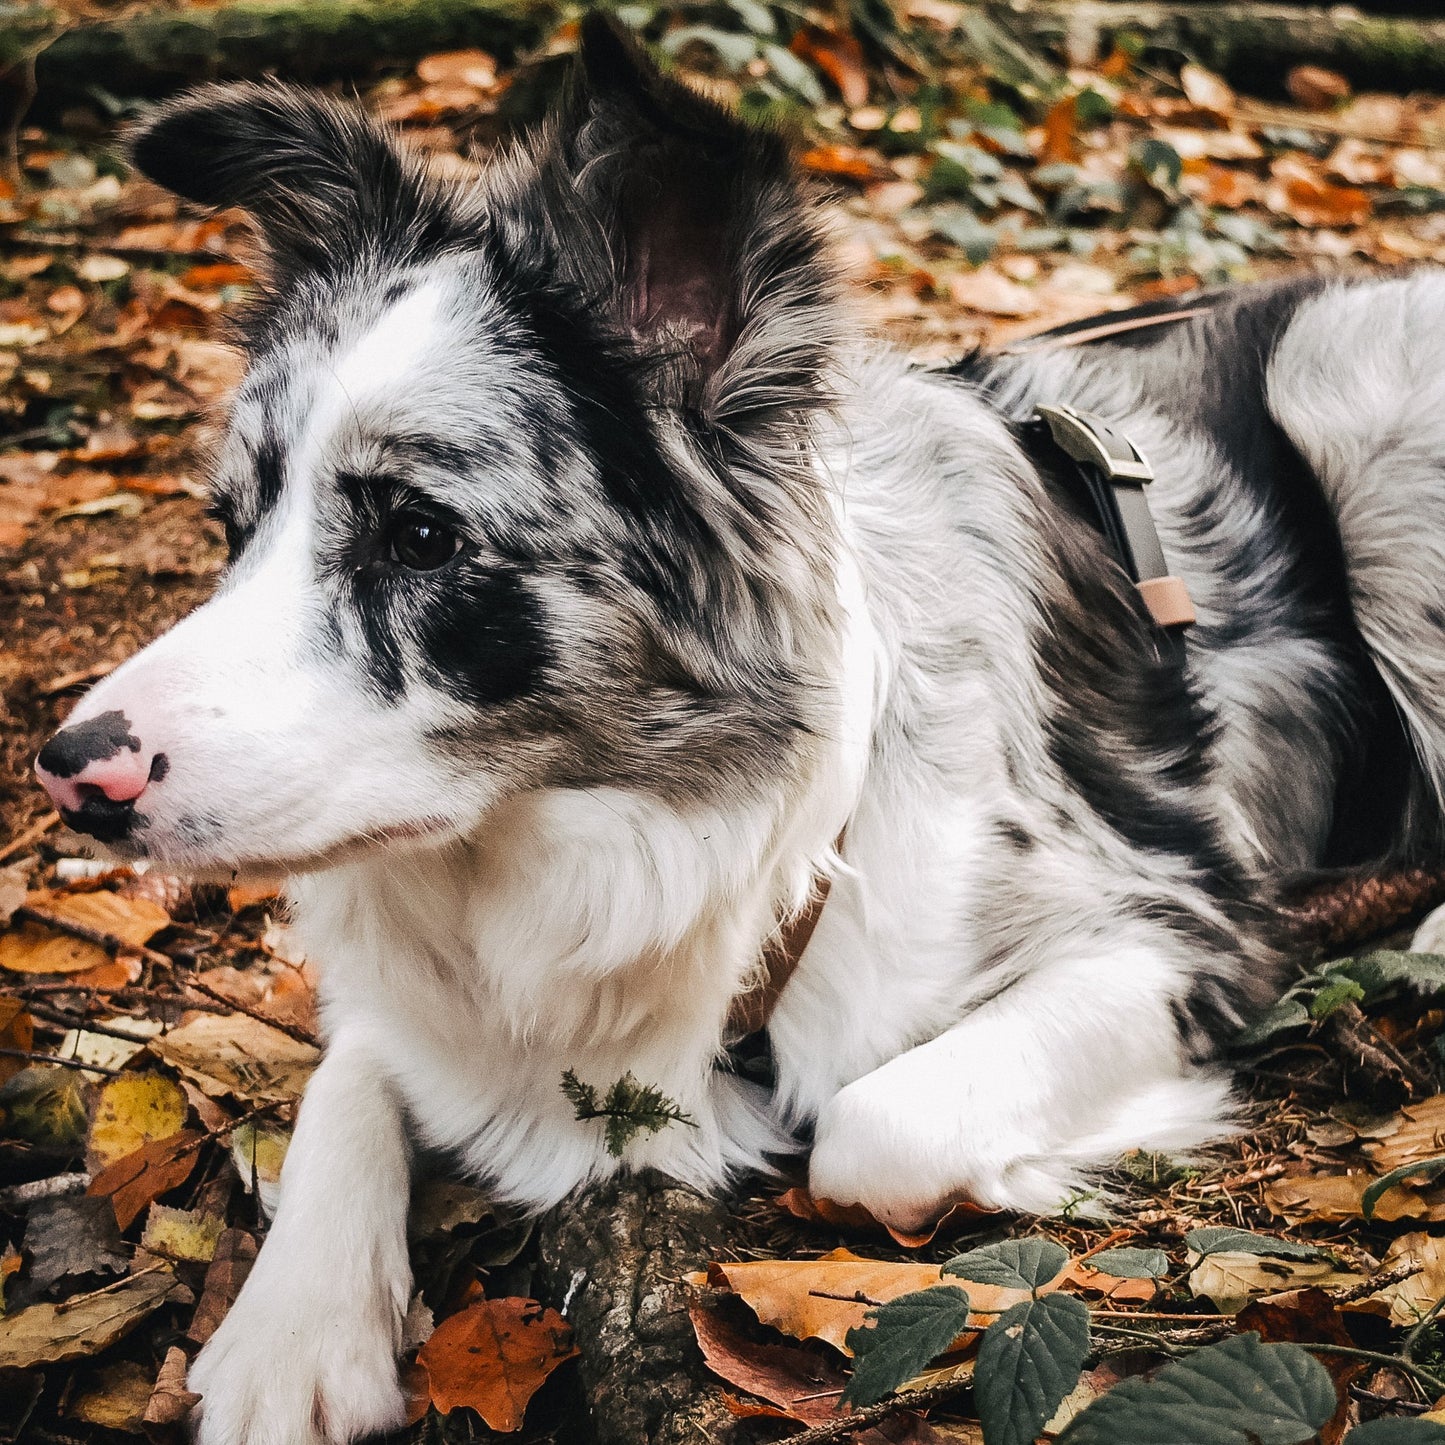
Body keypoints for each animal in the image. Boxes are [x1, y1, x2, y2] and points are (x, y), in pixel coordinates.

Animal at [28, 14, 1445, 1445]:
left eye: (418, 534)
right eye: (233, 525)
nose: (70, 773)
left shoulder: (1176, 924)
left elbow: (871, 1127)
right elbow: (350, 1072)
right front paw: (293, 1331)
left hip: (1357, 411)